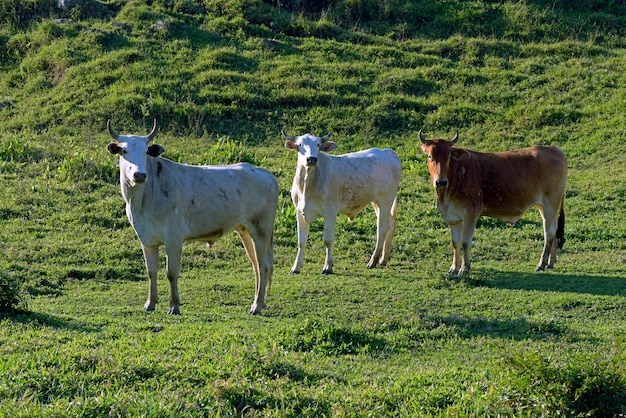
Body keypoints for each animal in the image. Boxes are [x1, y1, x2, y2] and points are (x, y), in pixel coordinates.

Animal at [106, 120, 276, 314]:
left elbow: (172, 273)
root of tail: (264, 173)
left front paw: (174, 306)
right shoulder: (147, 239)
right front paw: (150, 303)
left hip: (261, 229)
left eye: (146, 151)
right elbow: (151, 272)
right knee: (256, 264)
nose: (139, 174)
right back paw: (258, 301)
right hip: (245, 229)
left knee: (264, 265)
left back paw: (256, 306)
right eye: (124, 151)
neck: (142, 200)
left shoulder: (173, 238)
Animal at [282, 131, 400, 274]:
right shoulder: (300, 212)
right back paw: (383, 259)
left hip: (385, 200)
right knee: (390, 224)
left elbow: (327, 240)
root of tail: (388, 152)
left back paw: (373, 261)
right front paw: (296, 267)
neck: (307, 185)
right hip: (377, 202)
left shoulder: (331, 212)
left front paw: (328, 266)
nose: (312, 159)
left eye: (318, 144)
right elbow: (301, 242)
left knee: (382, 229)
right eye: (300, 144)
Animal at [420, 130, 564, 274]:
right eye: (430, 156)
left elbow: (465, 242)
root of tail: (555, 149)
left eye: (449, 157)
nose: (441, 182)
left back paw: (542, 263)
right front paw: (454, 268)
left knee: (549, 232)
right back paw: (550, 262)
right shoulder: (454, 217)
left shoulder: (470, 214)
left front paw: (464, 268)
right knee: (555, 229)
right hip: (544, 207)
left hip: (550, 205)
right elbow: (456, 242)